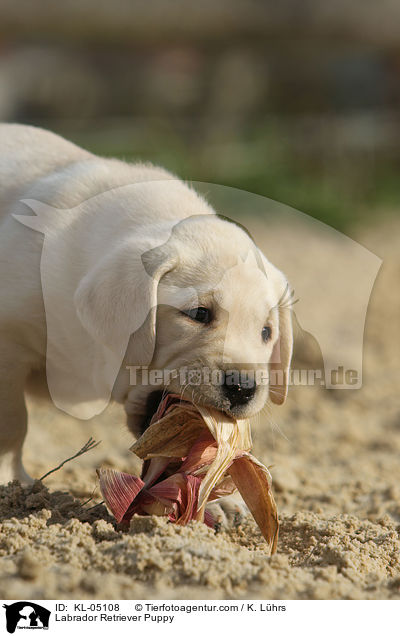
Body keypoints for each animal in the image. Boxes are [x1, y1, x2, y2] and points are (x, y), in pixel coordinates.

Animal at [0, 124, 292, 516]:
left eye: (266, 332)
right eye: (199, 314)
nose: (244, 388)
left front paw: (218, 501)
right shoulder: (9, 342)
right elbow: (12, 423)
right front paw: (10, 482)